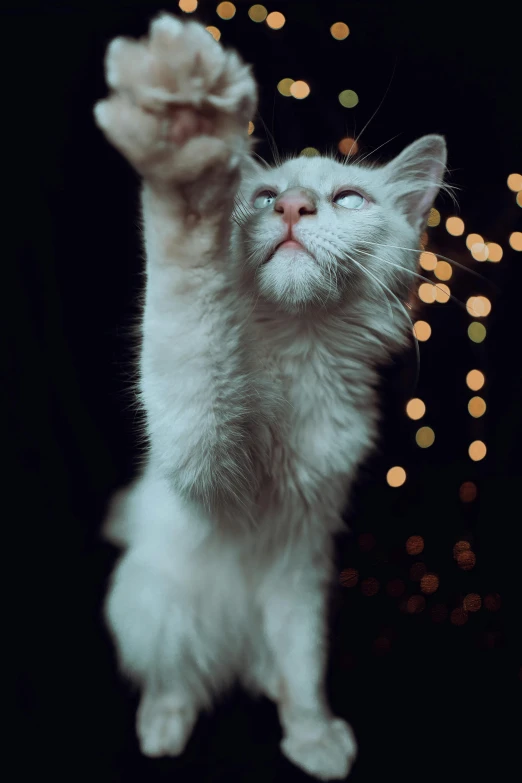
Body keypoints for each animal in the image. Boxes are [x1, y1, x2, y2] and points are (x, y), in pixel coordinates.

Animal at [95, 13, 444, 783]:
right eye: (262, 198)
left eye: (348, 199)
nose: (291, 206)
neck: (300, 356)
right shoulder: (204, 447)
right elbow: (191, 295)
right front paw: (185, 135)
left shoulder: (302, 554)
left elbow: (304, 678)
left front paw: (317, 741)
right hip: (152, 605)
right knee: (174, 676)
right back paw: (162, 726)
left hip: (296, 602)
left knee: (281, 674)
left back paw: (305, 730)